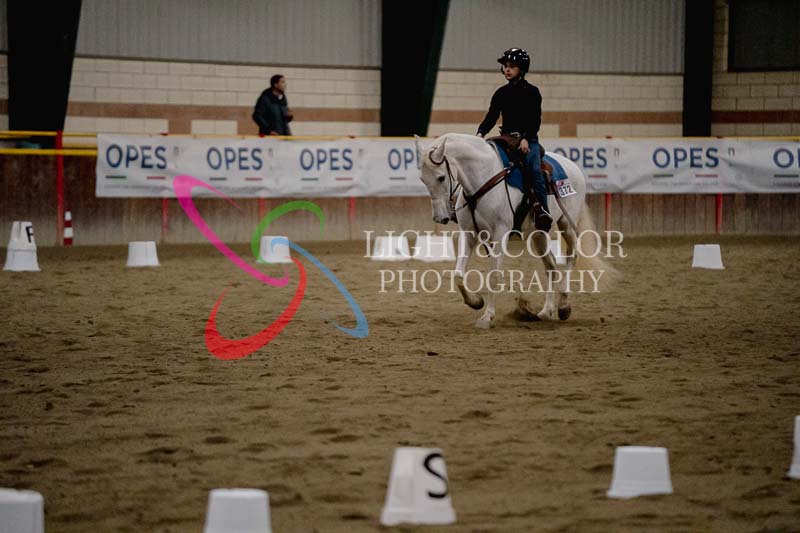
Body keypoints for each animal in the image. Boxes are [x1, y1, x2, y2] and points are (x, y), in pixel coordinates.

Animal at [414, 133, 613, 328]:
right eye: (422, 179)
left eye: (441, 177)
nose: (439, 218)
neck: (483, 179)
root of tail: (572, 166)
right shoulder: (468, 234)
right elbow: (458, 274)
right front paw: (476, 302)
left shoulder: (500, 234)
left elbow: (493, 275)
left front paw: (487, 316)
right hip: (539, 233)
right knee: (551, 266)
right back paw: (545, 311)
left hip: (567, 224)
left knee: (572, 256)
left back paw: (563, 306)